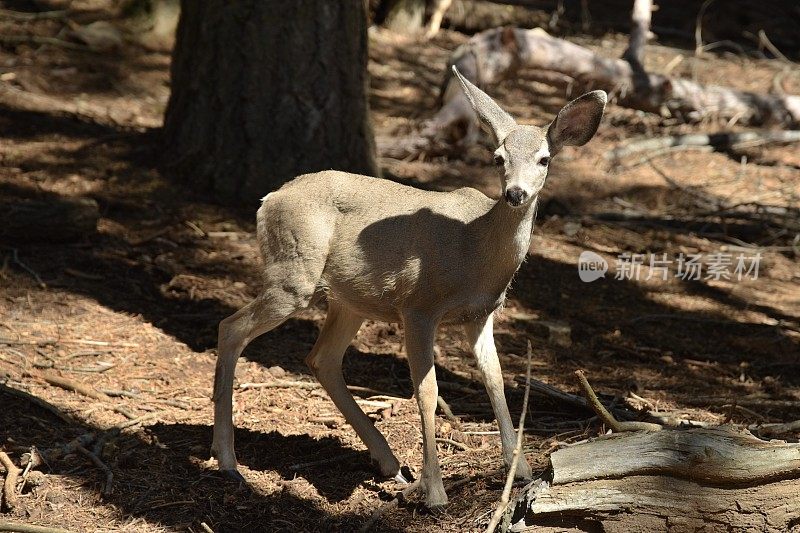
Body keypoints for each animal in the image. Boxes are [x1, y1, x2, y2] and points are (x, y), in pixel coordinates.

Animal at [212, 66, 608, 508]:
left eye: (544, 159)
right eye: (498, 158)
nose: (515, 193)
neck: (476, 252)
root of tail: (269, 199)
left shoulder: (481, 315)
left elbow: (495, 378)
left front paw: (518, 469)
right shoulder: (418, 306)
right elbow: (427, 391)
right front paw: (435, 490)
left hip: (349, 299)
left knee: (322, 357)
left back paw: (388, 462)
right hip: (293, 274)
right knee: (231, 328)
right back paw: (227, 460)